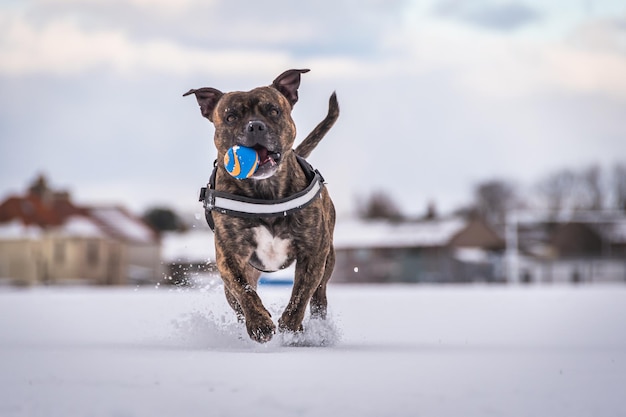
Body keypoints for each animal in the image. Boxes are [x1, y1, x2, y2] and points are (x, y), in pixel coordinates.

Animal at [184, 69, 336, 342]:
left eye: (273, 110)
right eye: (231, 117)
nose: (255, 125)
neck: (266, 190)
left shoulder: (313, 253)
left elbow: (300, 294)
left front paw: (291, 327)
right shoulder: (229, 256)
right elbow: (244, 291)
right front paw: (259, 324)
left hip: (329, 258)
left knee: (319, 296)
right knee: (237, 299)